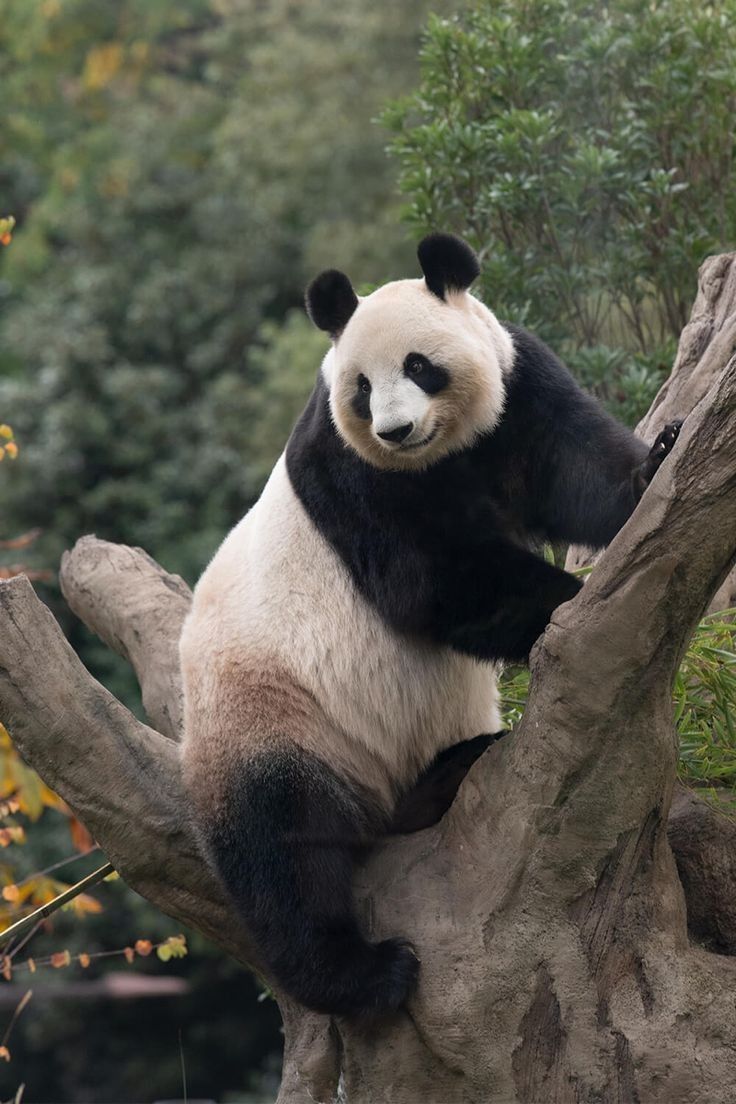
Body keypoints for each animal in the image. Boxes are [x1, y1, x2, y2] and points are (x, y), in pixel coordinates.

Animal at [179, 232, 681, 1018]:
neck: (443, 451)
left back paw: (452, 773)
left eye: (420, 366)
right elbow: (432, 579)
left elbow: (576, 470)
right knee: (283, 849)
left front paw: (655, 463)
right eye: (361, 387)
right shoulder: (356, 473)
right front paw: (563, 603)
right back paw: (364, 975)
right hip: (269, 714)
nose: (395, 429)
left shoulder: (520, 387)